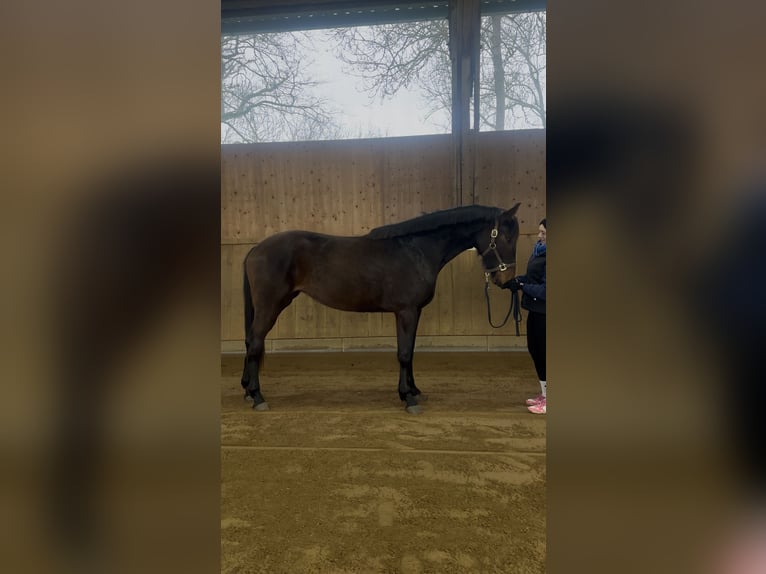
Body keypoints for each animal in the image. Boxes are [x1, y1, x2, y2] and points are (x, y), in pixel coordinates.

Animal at [241, 203, 521, 414]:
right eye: (506, 236)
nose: (506, 279)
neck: (416, 249)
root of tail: (256, 249)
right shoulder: (406, 311)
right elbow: (404, 353)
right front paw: (408, 399)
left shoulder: (413, 312)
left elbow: (410, 352)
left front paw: (414, 391)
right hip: (270, 306)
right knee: (255, 342)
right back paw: (258, 397)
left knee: (250, 341)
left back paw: (247, 390)